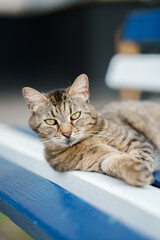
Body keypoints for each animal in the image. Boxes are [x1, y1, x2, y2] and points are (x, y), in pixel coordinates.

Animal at [21, 74, 160, 187]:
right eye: (51, 122)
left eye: (75, 115)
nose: (67, 133)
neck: (89, 139)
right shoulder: (100, 159)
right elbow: (115, 161)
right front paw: (134, 171)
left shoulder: (138, 141)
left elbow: (142, 157)